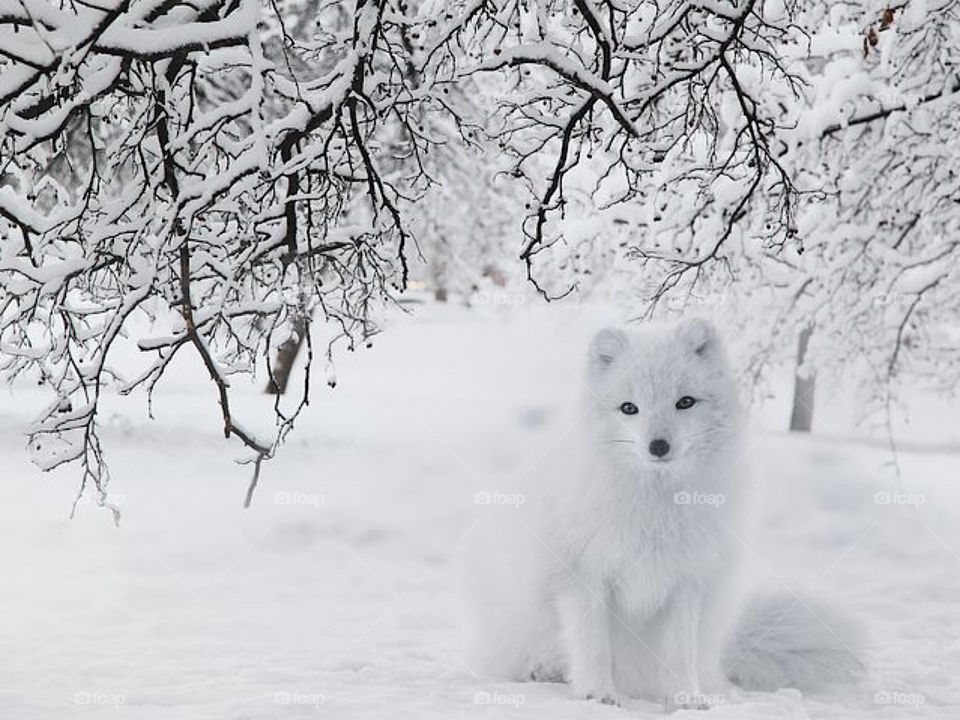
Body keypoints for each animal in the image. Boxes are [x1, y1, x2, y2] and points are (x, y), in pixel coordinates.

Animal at [462, 317, 864, 710]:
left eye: (684, 402)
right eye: (629, 408)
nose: (658, 446)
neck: (655, 505)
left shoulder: (685, 580)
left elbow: (678, 654)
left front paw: (686, 699)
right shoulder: (583, 573)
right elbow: (593, 646)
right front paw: (597, 694)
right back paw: (544, 670)